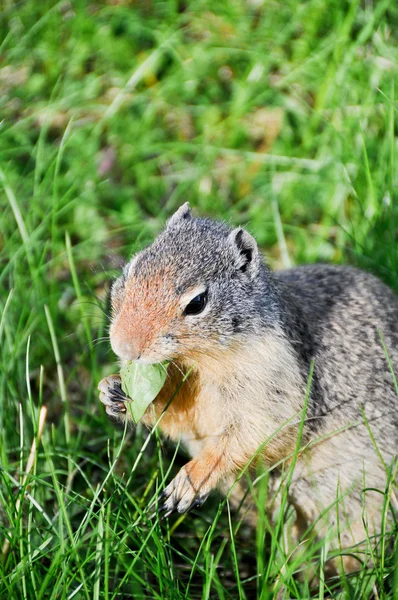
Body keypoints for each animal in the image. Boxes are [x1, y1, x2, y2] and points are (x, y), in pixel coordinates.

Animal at [97, 203, 398, 572]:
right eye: (133, 268)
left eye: (197, 303)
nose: (125, 347)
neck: (201, 361)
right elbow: (179, 416)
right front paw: (113, 391)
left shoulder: (275, 391)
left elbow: (252, 436)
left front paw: (191, 479)